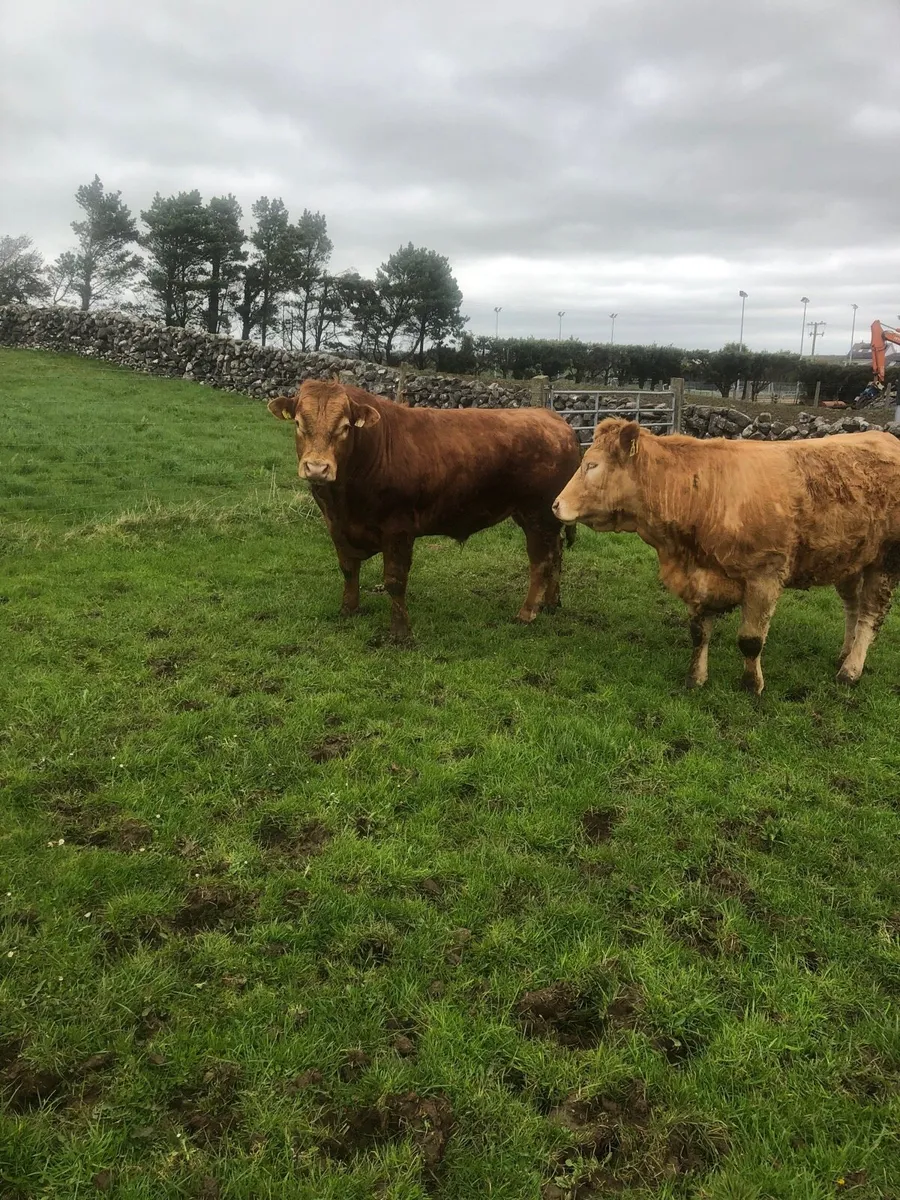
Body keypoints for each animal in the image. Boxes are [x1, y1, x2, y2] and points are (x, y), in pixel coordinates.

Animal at [268, 379, 582, 640]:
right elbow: (348, 569)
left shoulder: (398, 529)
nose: (317, 467)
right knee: (557, 555)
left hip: (537, 515)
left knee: (541, 562)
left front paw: (400, 633)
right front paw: (349, 609)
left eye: (345, 427)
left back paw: (527, 613)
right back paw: (552, 603)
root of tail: (555, 420)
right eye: (298, 423)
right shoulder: (336, 526)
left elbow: (395, 581)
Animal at [552, 418, 900, 693]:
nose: (555, 504)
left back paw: (850, 671)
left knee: (870, 614)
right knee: (852, 607)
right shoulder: (700, 577)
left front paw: (751, 685)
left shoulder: (764, 576)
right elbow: (698, 634)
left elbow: (750, 640)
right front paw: (696, 678)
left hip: (885, 560)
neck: (703, 495)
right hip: (851, 560)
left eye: (592, 466)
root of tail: (887, 438)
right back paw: (844, 653)